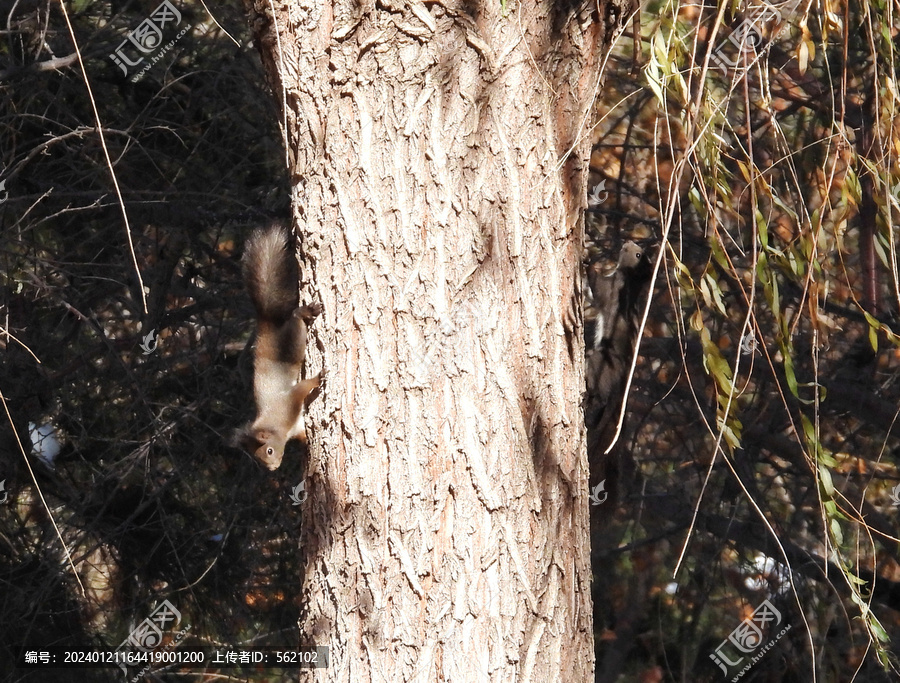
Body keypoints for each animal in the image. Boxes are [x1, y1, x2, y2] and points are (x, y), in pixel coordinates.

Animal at [236, 224, 324, 470]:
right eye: (258, 458)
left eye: (269, 450)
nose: (273, 469)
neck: (278, 427)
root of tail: (266, 324)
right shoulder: (296, 427)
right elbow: (303, 434)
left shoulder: (288, 402)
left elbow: (302, 388)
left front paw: (317, 379)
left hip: (290, 344)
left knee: (295, 319)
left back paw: (304, 312)